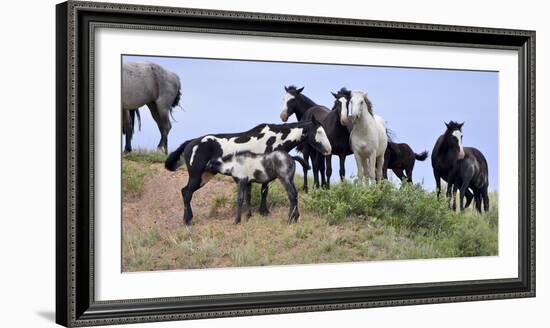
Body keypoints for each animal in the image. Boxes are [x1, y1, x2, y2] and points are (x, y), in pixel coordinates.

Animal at [165, 120, 332, 226]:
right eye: (319, 131)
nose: (328, 150)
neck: (275, 138)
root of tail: (190, 143)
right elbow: (264, 191)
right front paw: (263, 211)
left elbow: (252, 194)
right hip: (196, 176)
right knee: (187, 193)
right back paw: (187, 221)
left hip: (204, 176)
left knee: (185, 191)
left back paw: (188, 218)